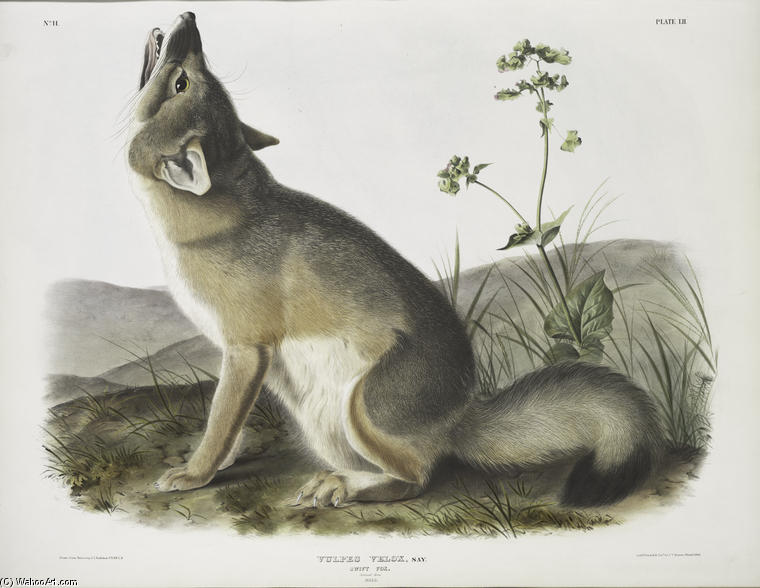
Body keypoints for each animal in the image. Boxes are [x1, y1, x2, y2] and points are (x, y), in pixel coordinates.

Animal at [127, 12, 662, 508]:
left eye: (185, 81)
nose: (191, 18)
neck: (224, 208)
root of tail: (461, 416)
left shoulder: (246, 351)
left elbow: (220, 422)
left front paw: (194, 474)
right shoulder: (244, 359)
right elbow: (230, 427)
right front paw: (219, 463)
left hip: (361, 408)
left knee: (416, 477)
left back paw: (341, 486)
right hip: (321, 419)